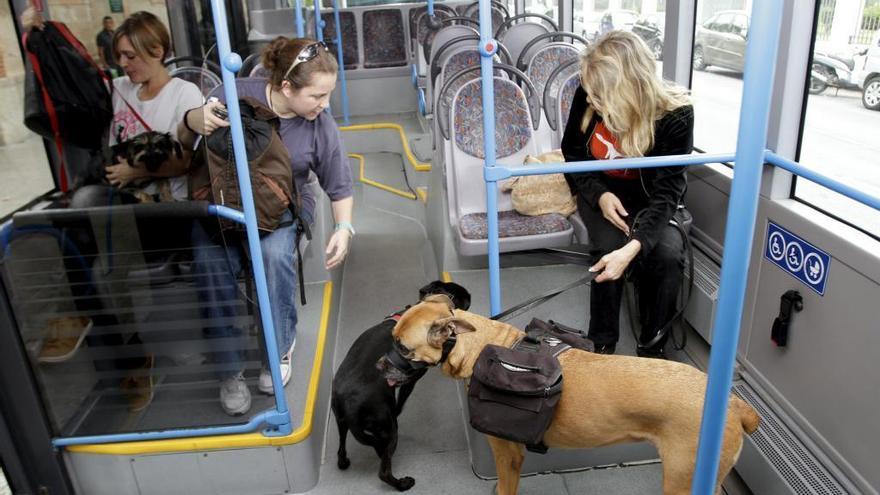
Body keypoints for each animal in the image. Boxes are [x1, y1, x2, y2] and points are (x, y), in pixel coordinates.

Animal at [330, 282, 470, 492]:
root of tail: (350, 404)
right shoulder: (410, 379)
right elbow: (401, 402)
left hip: (341, 421)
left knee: (340, 448)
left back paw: (344, 461)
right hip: (389, 430)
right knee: (384, 471)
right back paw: (402, 484)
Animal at [382, 296, 760, 494]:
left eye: (403, 347)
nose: (377, 364)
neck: (479, 345)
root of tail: (734, 404)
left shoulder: (508, 456)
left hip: (684, 480)